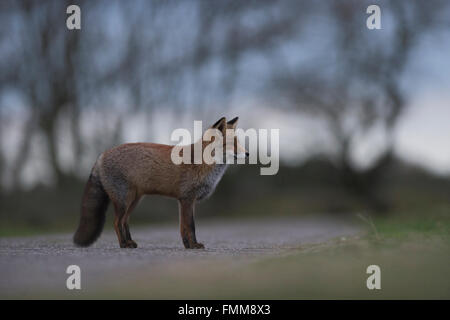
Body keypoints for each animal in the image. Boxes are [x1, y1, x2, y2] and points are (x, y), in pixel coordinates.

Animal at [74, 117, 250, 250]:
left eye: (239, 142)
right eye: (231, 143)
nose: (248, 153)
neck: (203, 163)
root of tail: (101, 155)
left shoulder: (183, 200)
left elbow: (182, 227)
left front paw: (187, 245)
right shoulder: (187, 199)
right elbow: (190, 226)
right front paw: (194, 245)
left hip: (134, 200)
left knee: (124, 221)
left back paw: (130, 242)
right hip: (125, 200)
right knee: (117, 222)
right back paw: (123, 244)